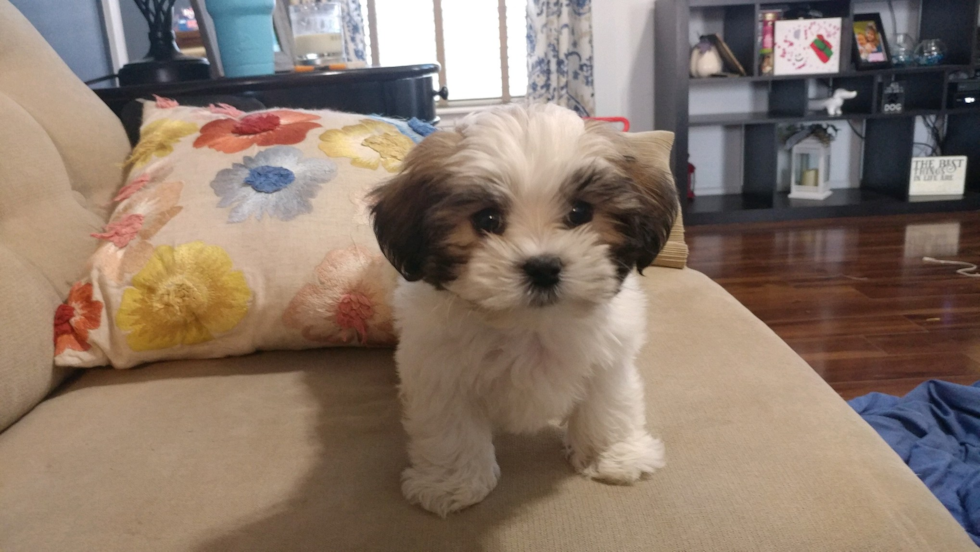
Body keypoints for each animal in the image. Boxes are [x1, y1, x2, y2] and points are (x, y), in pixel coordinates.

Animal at [372, 102, 676, 516]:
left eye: (580, 212)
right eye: (486, 219)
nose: (543, 267)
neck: (530, 325)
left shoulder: (609, 358)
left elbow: (609, 404)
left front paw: (613, 455)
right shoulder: (438, 369)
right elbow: (450, 427)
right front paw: (452, 483)